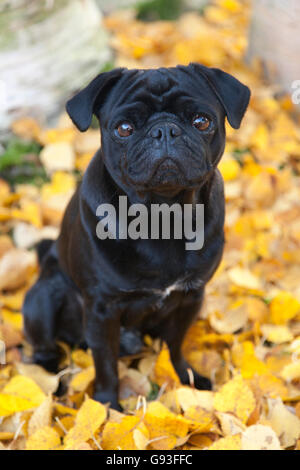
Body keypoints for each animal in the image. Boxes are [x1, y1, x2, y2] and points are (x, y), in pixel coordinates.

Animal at [22, 62, 248, 408]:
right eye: (124, 128)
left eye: (202, 121)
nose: (164, 130)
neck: (163, 214)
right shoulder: (101, 311)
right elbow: (105, 365)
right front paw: (107, 406)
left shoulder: (190, 298)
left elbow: (176, 346)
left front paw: (186, 379)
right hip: (42, 301)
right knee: (44, 349)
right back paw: (52, 383)